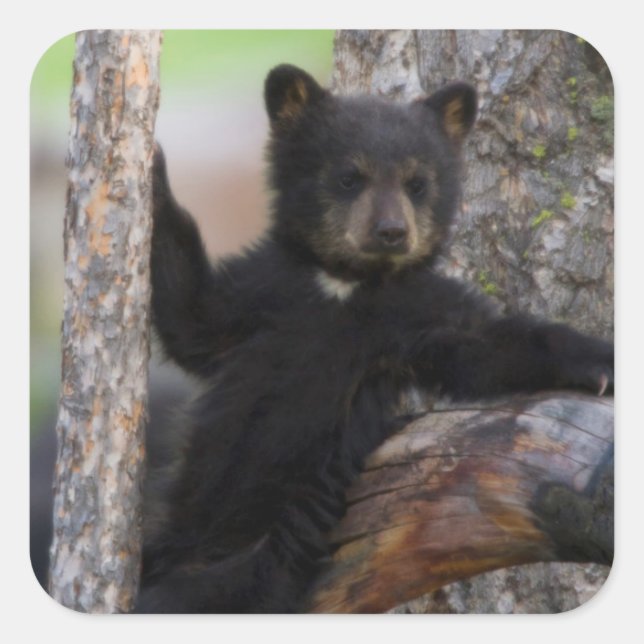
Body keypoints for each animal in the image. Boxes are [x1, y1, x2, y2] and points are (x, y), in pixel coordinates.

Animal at [135, 64, 613, 613]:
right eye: (349, 177)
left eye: (417, 183)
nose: (391, 231)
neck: (347, 284)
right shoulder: (264, 290)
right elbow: (193, 317)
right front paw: (151, 170)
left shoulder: (414, 314)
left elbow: (486, 344)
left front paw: (599, 364)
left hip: (262, 559)